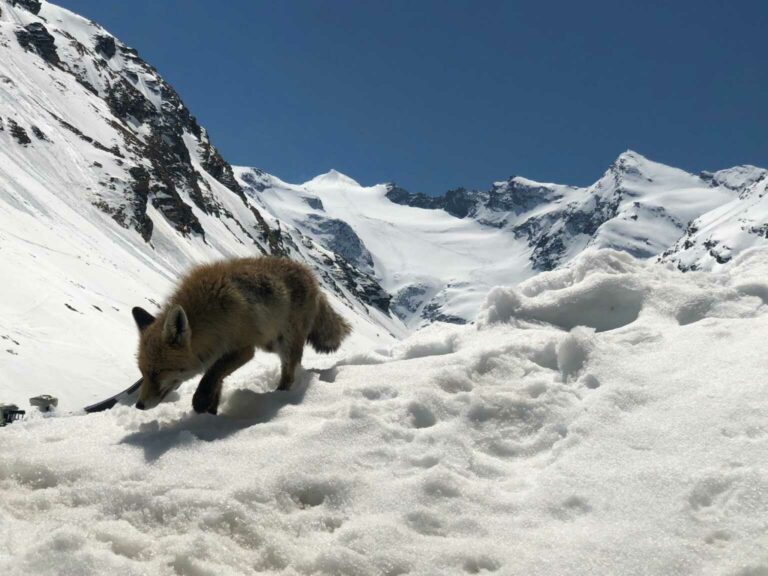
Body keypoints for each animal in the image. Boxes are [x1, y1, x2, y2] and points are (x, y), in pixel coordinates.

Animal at [130, 256, 351, 414]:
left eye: (157, 373)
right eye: (143, 373)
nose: (139, 405)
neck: (212, 313)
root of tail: (310, 275)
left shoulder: (243, 348)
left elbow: (212, 375)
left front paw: (201, 401)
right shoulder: (215, 351)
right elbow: (216, 379)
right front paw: (210, 413)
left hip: (285, 344)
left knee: (288, 375)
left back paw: (277, 399)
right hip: (271, 343)